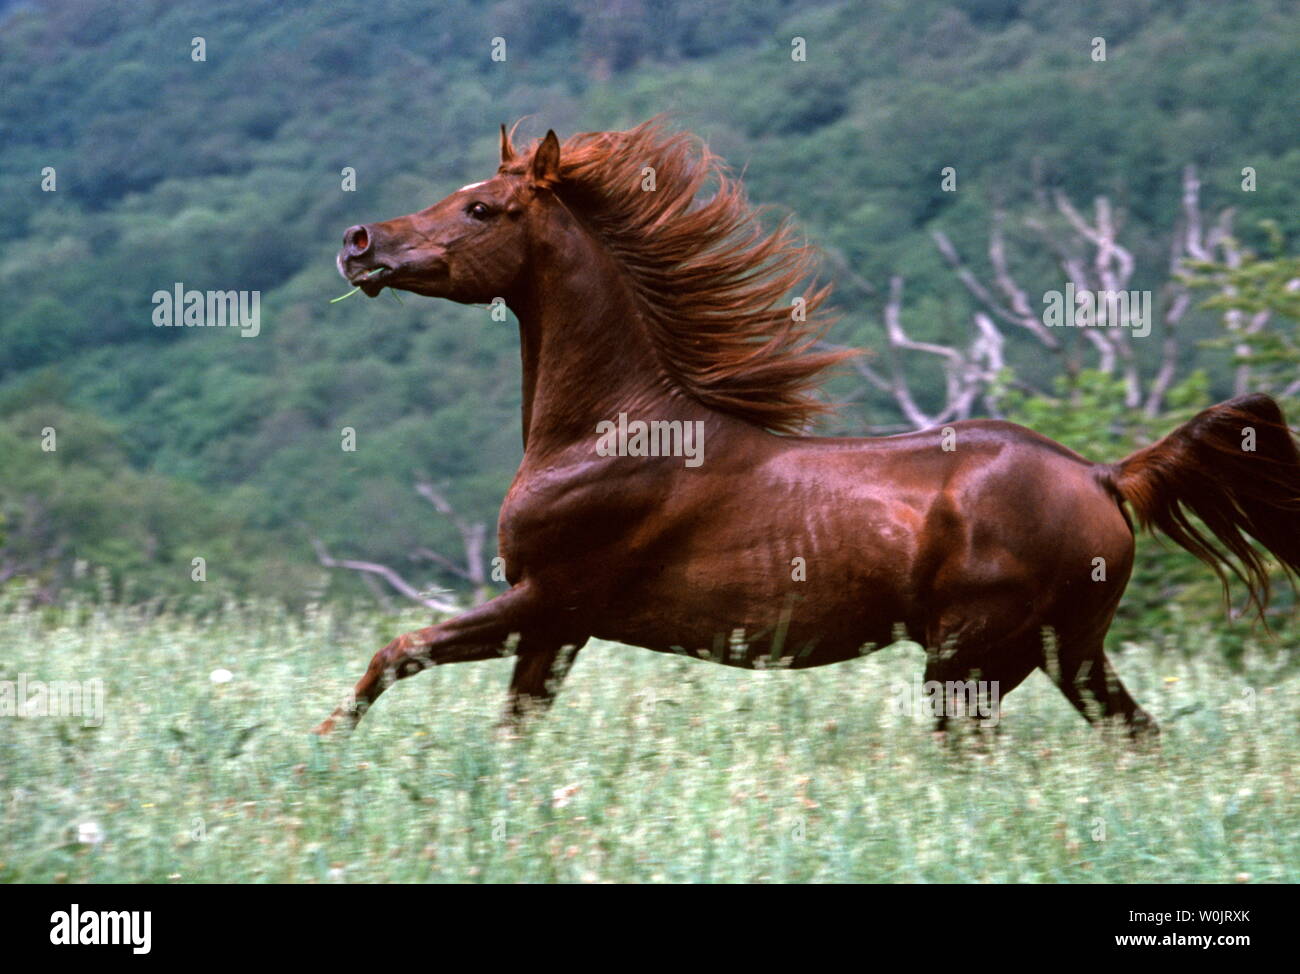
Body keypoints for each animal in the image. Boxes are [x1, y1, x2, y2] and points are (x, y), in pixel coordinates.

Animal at [317, 121, 1300, 738]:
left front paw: (325, 746)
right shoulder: (554, 630)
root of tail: (1103, 475)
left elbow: (395, 653)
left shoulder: (549, 599)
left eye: (482, 209)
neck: (614, 434)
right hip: (1066, 653)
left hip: (973, 657)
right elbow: (510, 727)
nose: (359, 242)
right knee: (1136, 736)